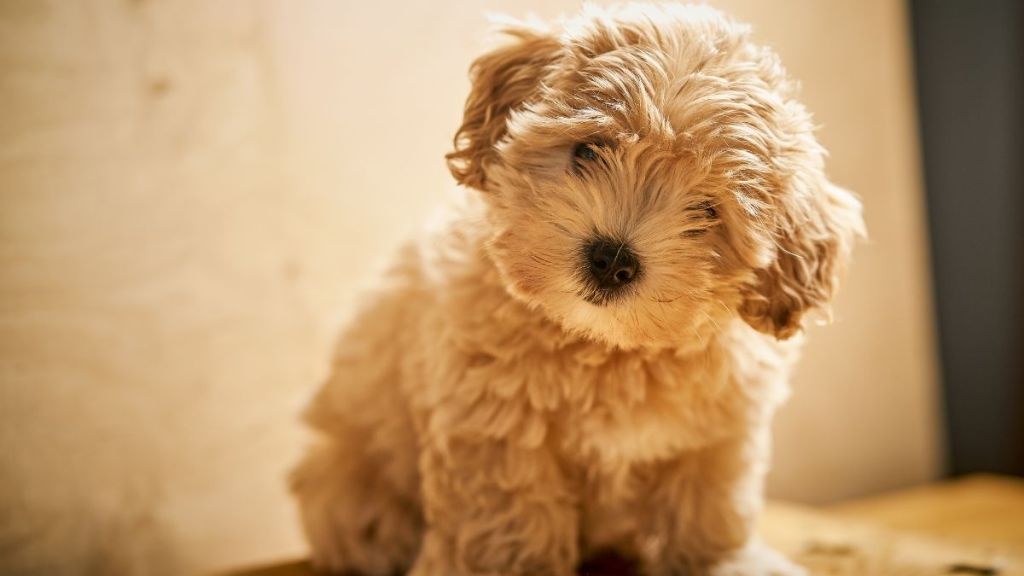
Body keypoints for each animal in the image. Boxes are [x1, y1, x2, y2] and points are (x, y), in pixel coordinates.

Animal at [292, 4, 868, 573]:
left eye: (707, 211)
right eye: (589, 152)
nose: (611, 260)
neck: (604, 348)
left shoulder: (716, 431)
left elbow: (709, 509)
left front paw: (725, 562)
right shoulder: (494, 432)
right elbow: (509, 526)